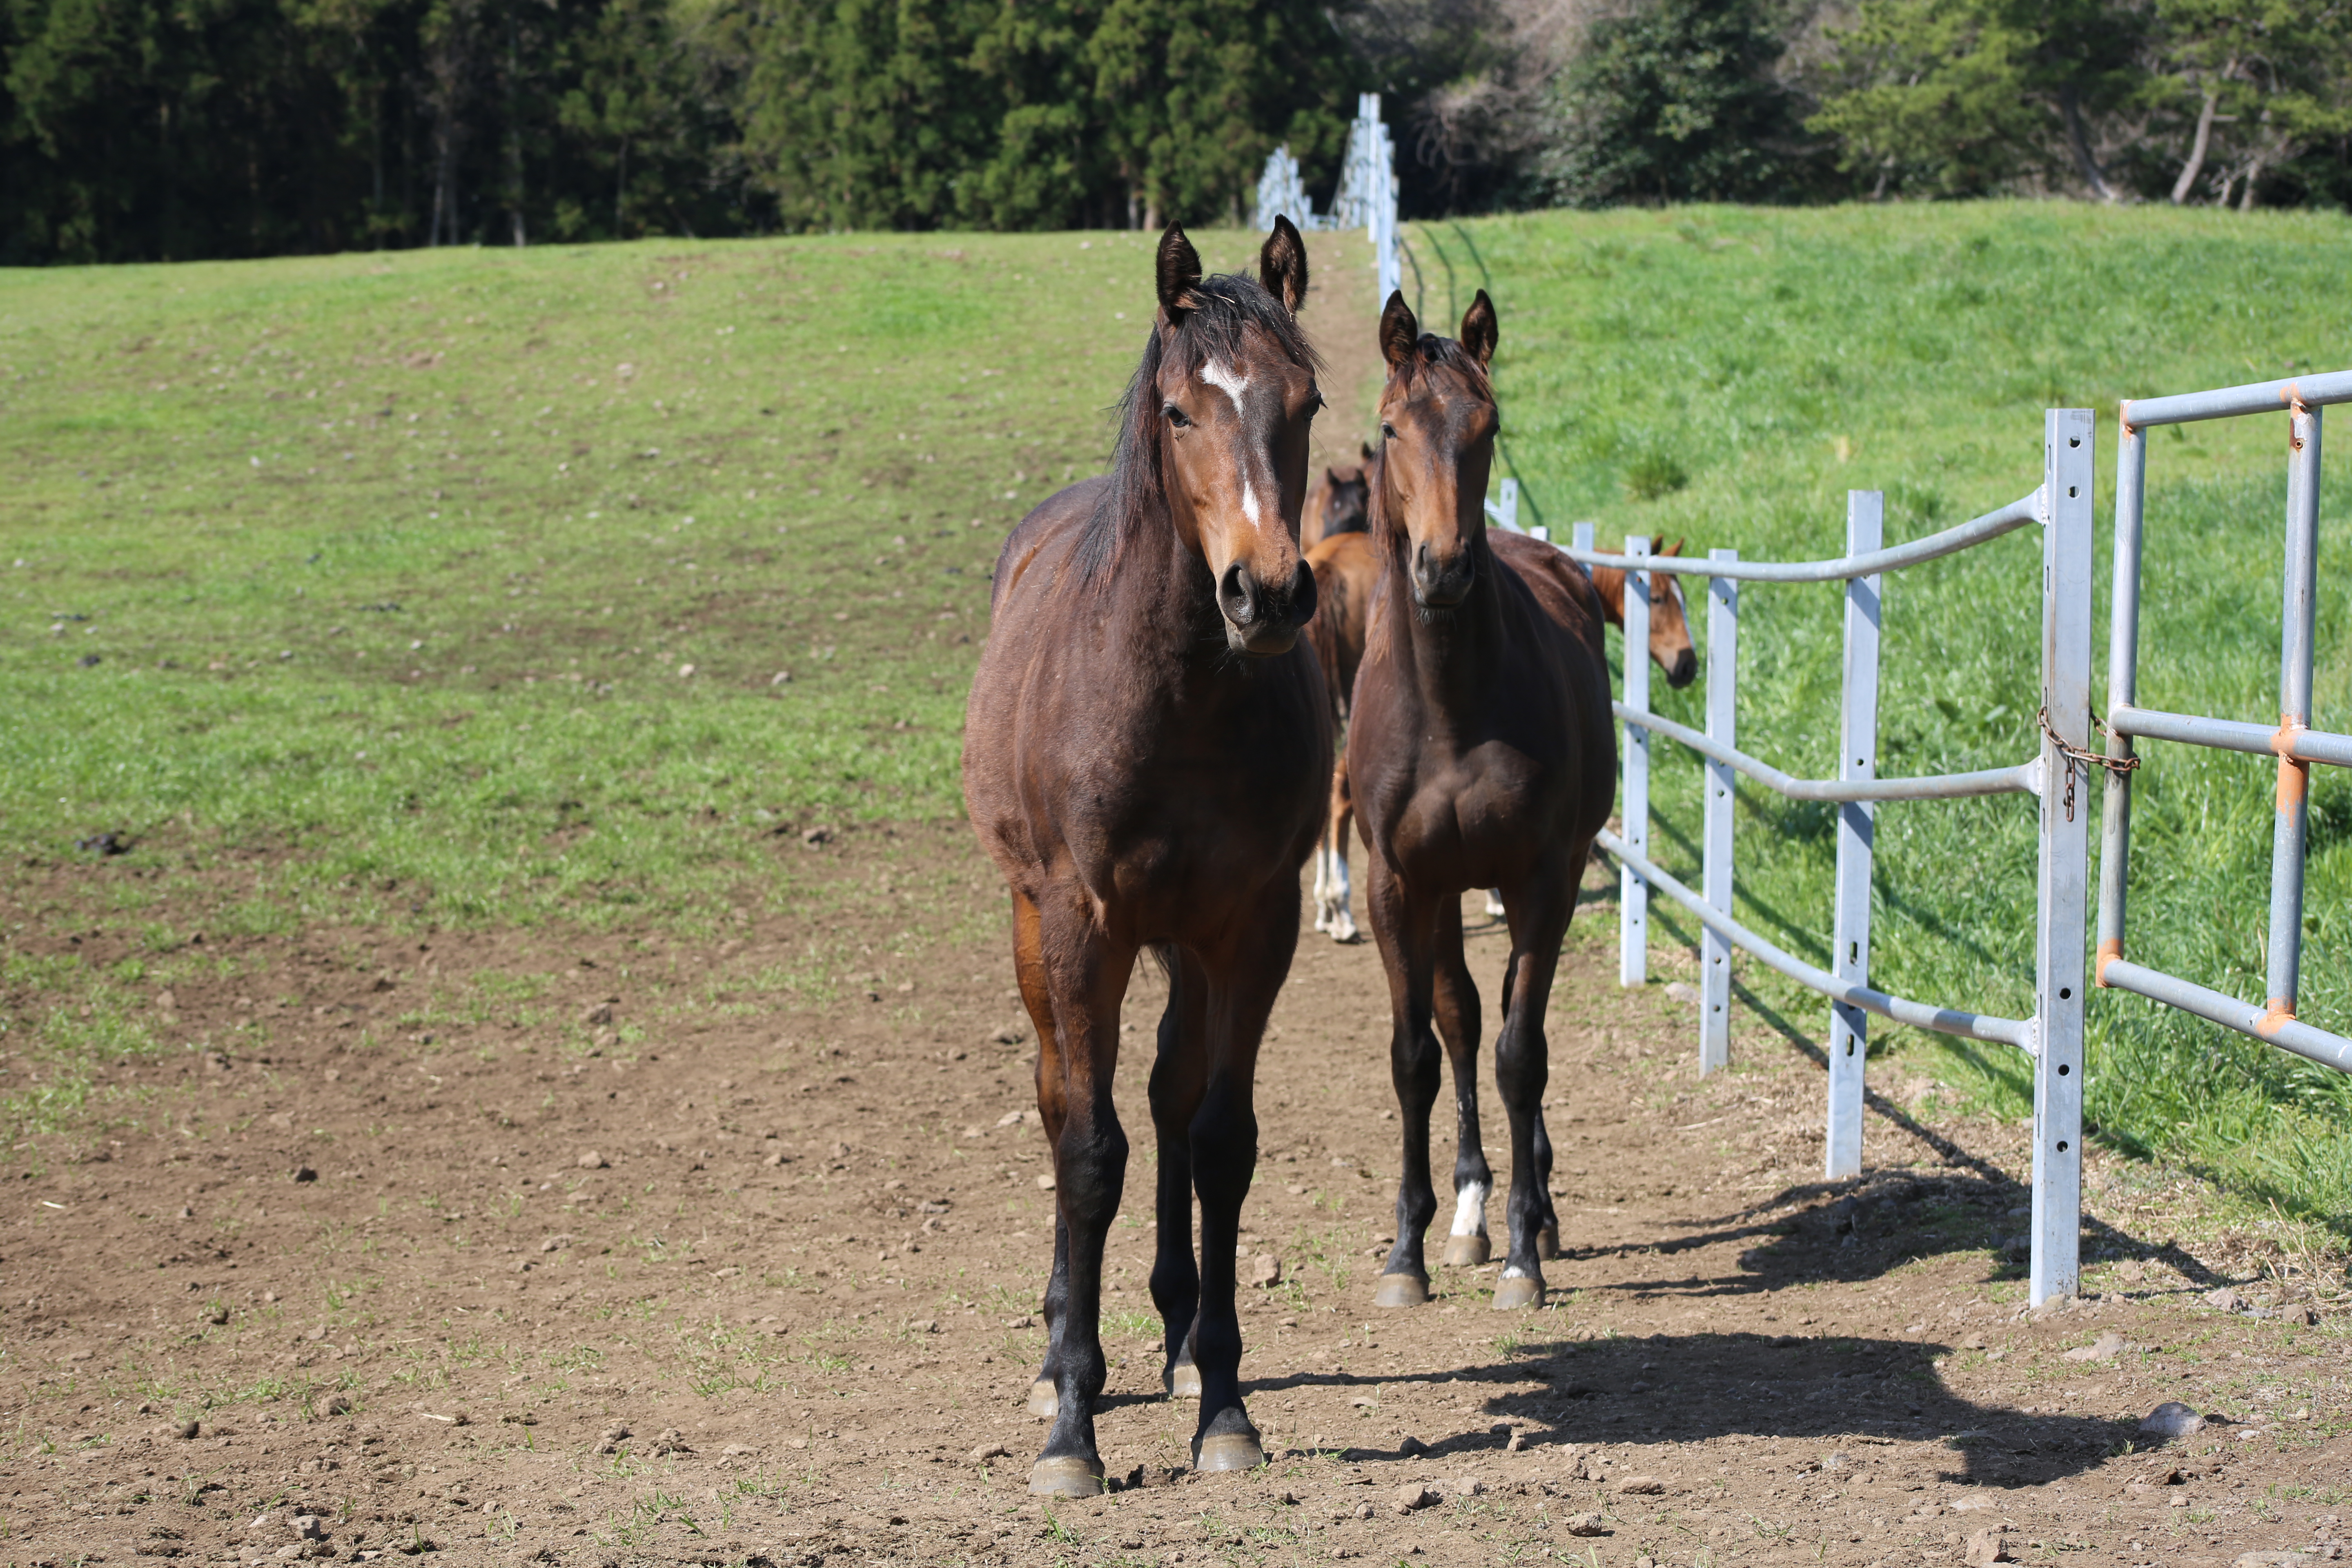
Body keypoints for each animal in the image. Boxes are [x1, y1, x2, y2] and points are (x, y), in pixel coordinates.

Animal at [955, 217, 1326, 1495]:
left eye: (1307, 403)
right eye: (1178, 410)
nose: (1267, 592)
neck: (1175, 702)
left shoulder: (1252, 925)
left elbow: (1219, 1140)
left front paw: (1222, 1404)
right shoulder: (1081, 923)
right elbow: (1087, 1150)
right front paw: (1072, 1420)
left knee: (1169, 1096)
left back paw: (1171, 1337)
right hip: (1040, 934)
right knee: (1064, 1096)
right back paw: (1063, 1353)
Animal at [1345, 291, 1618, 1316]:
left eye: (1487, 426)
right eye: (1392, 427)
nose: (1444, 570)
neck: (1451, 704)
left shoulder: (1541, 877)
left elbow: (1519, 1052)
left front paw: (1523, 1256)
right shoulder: (1396, 883)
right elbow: (1420, 1052)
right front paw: (1406, 1254)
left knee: (1506, 1024)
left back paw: (1531, 1213)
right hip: (1443, 892)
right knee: (1460, 1015)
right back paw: (1466, 1213)